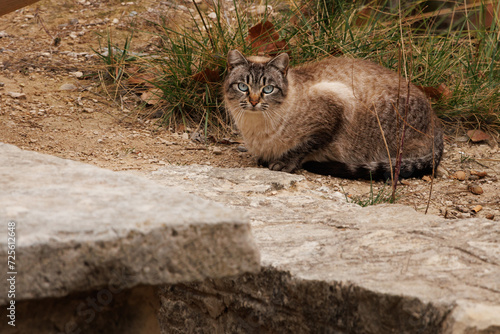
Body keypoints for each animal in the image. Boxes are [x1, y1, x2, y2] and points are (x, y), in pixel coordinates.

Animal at [225, 49, 444, 180]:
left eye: (268, 89)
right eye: (243, 87)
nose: (254, 101)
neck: (256, 128)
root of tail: (437, 126)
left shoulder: (334, 111)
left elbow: (303, 147)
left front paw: (283, 163)